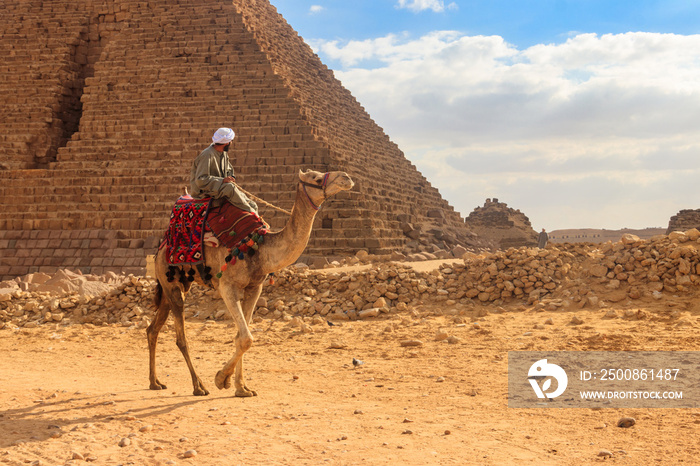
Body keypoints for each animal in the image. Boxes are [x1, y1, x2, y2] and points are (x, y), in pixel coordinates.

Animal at [148, 171, 356, 396]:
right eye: (316, 178)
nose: (346, 177)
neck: (260, 249)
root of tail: (161, 247)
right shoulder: (227, 286)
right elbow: (246, 338)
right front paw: (221, 379)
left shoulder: (255, 287)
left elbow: (241, 336)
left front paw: (241, 387)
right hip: (171, 282)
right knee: (181, 338)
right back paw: (199, 386)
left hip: (174, 284)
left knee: (153, 329)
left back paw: (155, 382)